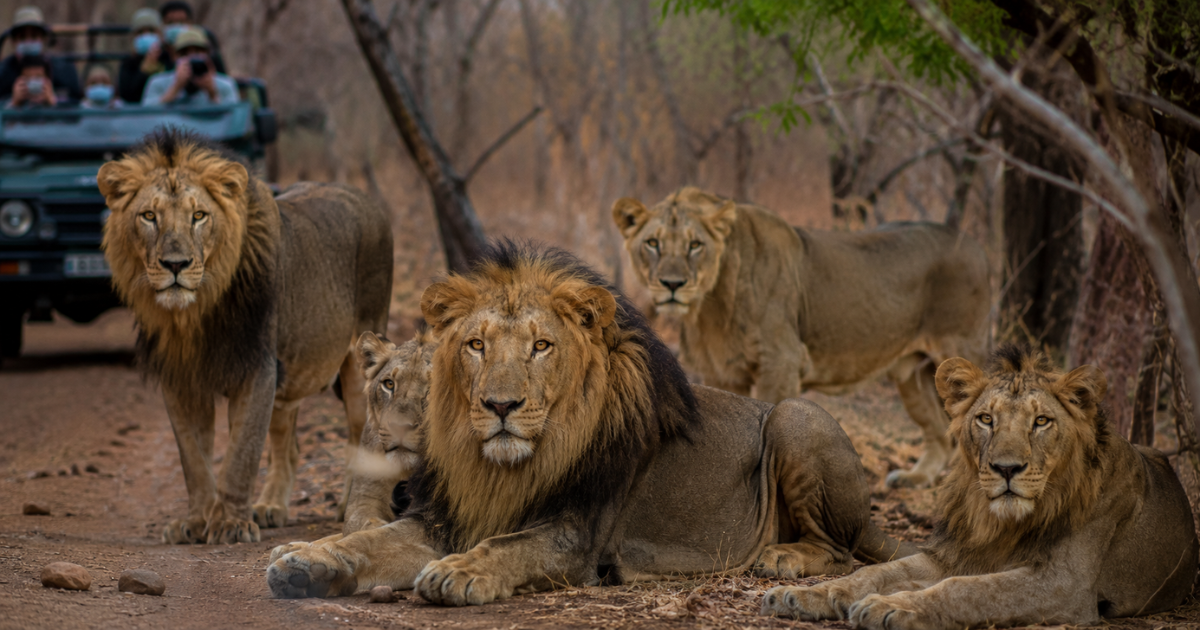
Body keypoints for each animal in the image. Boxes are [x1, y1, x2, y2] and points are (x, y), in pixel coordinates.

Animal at [98, 129, 392, 544]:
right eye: (149, 216)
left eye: (199, 216)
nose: (176, 265)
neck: (193, 316)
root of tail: (368, 200)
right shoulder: (181, 380)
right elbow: (194, 458)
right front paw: (196, 522)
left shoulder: (257, 369)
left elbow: (241, 454)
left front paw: (231, 524)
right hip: (291, 373)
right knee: (289, 444)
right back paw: (271, 507)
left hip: (357, 359)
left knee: (358, 436)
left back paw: (347, 506)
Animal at [264, 242, 915, 601]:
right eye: (476, 345)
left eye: (541, 347)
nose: (500, 406)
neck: (503, 469)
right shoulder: (443, 517)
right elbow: (367, 539)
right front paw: (306, 562)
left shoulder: (578, 535)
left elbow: (510, 545)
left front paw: (461, 572)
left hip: (794, 416)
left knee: (841, 549)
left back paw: (784, 557)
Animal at [612, 187, 990, 488]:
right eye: (653, 243)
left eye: (695, 245)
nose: (672, 284)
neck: (709, 307)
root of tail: (977, 246)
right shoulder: (723, 372)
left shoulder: (781, 361)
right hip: (915, 374)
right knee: (940, 433)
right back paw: (915, 478)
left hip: (961, 348)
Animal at [761, 345, 1199, 629]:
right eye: (986, 419)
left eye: (1041, 422)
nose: (1006, 468)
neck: (1004, 525)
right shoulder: (953, 555)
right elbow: (872, 572)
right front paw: (803, 596)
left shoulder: (1064, 583)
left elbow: (968, 590)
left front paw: (893, 608)